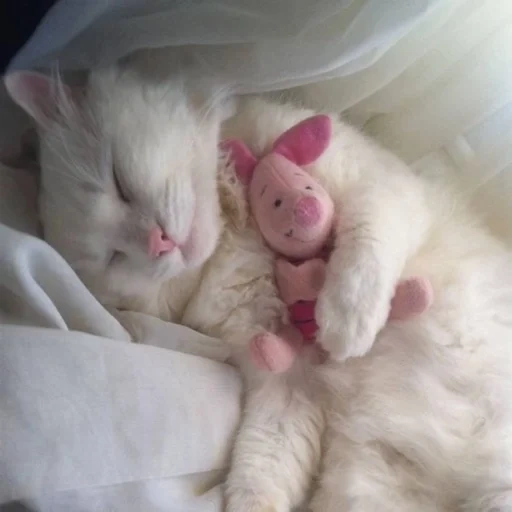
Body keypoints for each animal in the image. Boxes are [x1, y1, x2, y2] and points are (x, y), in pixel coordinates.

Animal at [183, 97, 512, 512]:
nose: (304, 209)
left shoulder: (381, 190)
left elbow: (363, 251)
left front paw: (345, 326)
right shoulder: (286, 378)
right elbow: (261, 462)